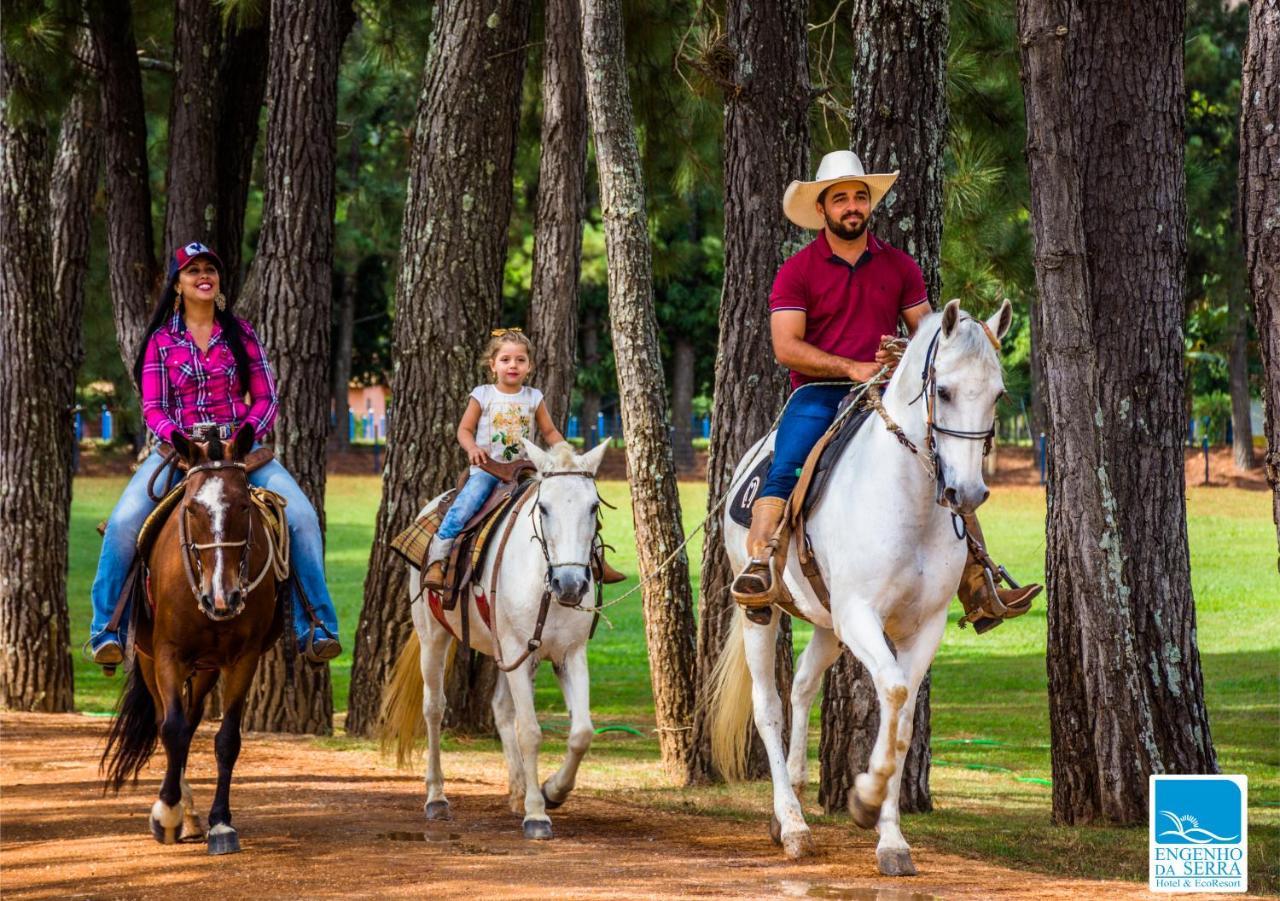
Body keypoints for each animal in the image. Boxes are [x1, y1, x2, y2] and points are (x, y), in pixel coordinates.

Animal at [102, 424, 288, 854]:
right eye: (190, 508)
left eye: (243, 506)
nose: (224, 597)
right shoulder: (169, 655)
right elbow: (170, 729)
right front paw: (165, 814)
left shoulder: (243, 658)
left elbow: (226, 739)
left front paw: (221, 824)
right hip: (150, 660)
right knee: (168, 723)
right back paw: (178, 813)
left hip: (206, 668)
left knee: (190, 723)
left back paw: (191, 818)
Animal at [378, 435, 609, 839]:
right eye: (543, 507)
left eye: (593, 506)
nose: (570, 584)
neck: (543, 581)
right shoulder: (518, 648)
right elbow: (530, 731)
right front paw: (537, 815)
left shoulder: (567, 653)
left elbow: (581, 732)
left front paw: (551, 791)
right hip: (433, 637)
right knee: (434, 708)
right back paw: (436, 798)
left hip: (508, 654)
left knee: (501, 708)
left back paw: (518, 791)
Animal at [711, 300, 1008, 870]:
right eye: (943, 391)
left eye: (999, 393)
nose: (967, 493)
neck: (907, 502)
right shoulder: (861, 616)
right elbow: (892, 691)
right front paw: (866, 798)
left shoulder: (923, 626)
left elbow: (904, 721)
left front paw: (891, 839)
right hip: (763, 613)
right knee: (768, 706)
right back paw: (792, 825)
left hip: (829, 625)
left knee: (803, 685)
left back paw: (793, 798)